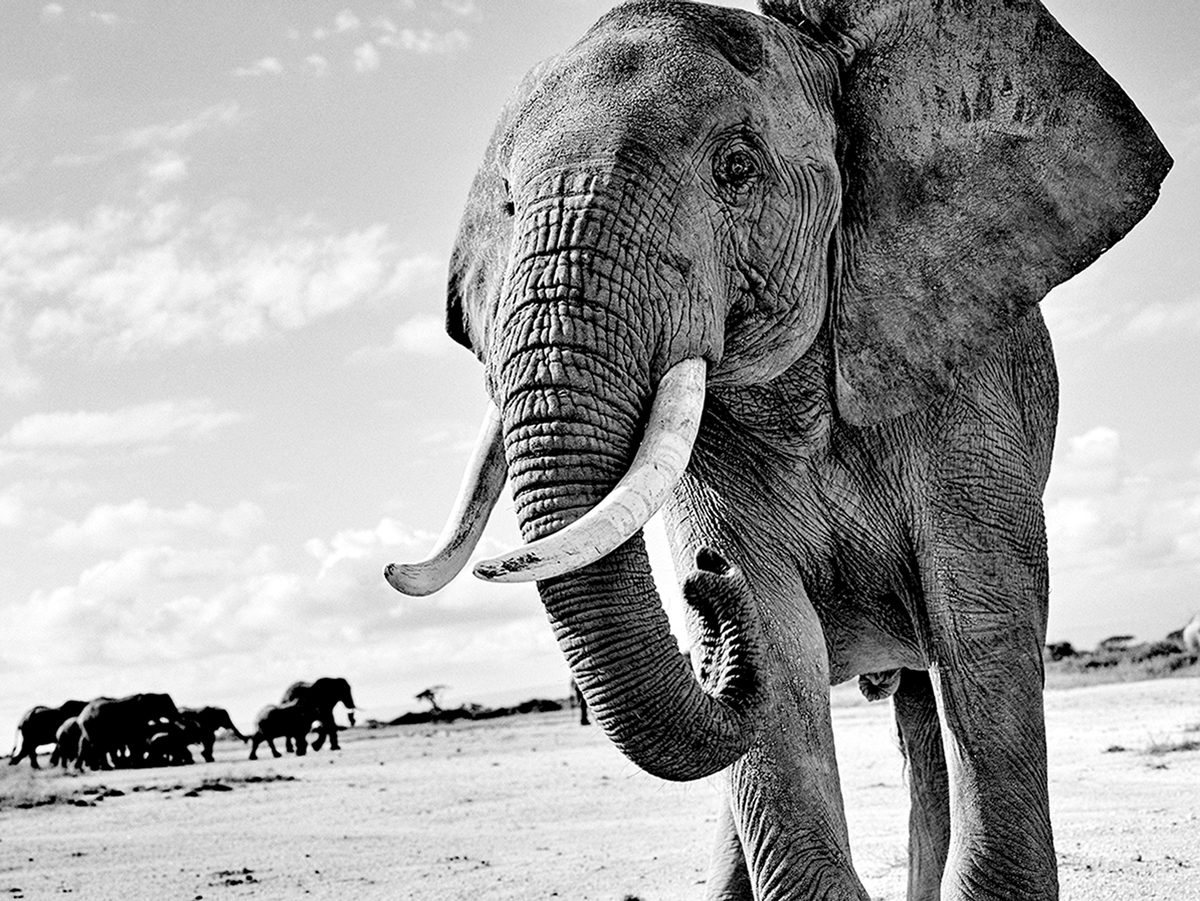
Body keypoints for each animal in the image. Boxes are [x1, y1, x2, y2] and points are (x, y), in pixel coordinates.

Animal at [379, 3, 1166, 897]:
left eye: (736, 168)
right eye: (508, 206)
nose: (703, 582)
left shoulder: (963, 371)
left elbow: (982, 616)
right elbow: (782, 648)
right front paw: (742, 586)